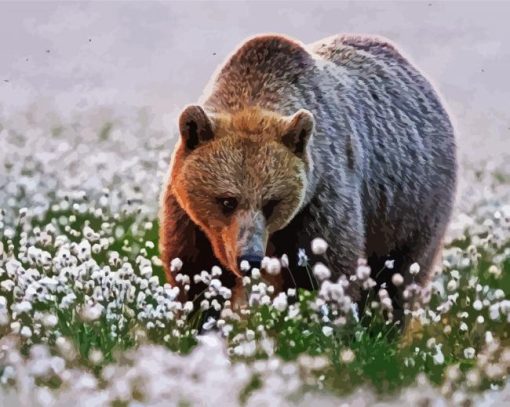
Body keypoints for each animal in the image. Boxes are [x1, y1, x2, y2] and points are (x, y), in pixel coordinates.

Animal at [157, 32, 456, 318]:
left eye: (271, 202)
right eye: (227, 200)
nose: (250, 259)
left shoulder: (319, 202)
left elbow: (328, 271)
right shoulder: (188, 216)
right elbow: (194, 273)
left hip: (412, 207)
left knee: (398, 278)